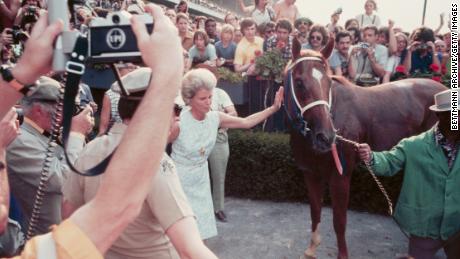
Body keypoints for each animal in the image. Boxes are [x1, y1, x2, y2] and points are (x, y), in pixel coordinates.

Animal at [286, 39, 448, 259]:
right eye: (299, 82)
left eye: (328, 82)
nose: (326, 137)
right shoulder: (310, 174)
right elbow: (315, 211)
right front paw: (311, 249)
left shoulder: (341, 176)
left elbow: (339, 221)